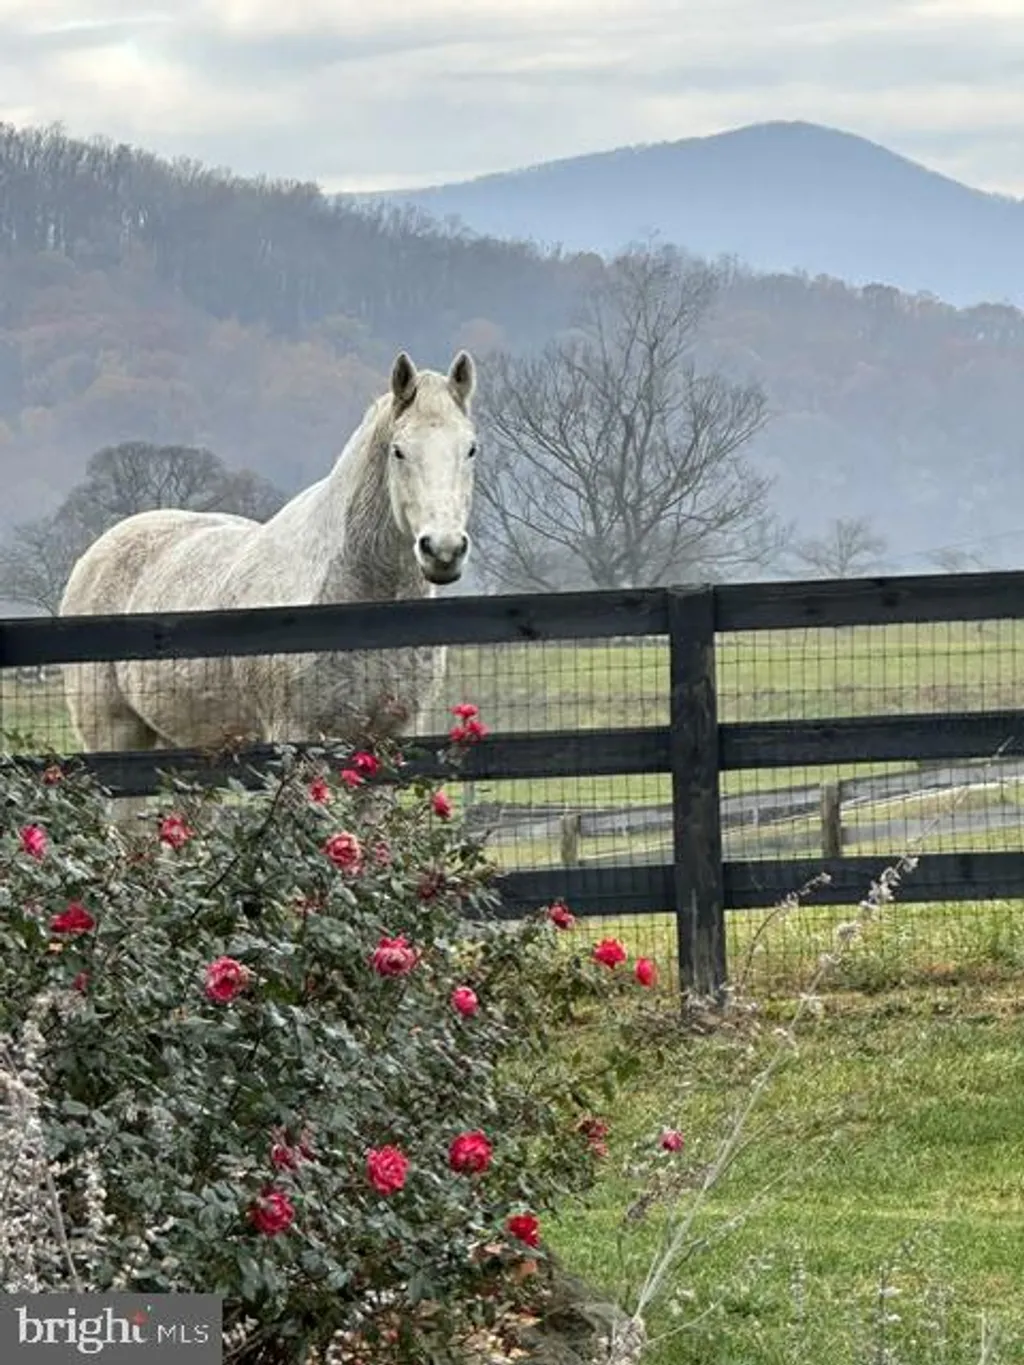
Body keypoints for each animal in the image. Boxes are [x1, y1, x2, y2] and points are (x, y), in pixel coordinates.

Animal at [59, 351, 478, 776]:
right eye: (399, 451)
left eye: (471, 449)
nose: (443, 549)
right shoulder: (297, 735)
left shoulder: (391, 736)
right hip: (115, 734)